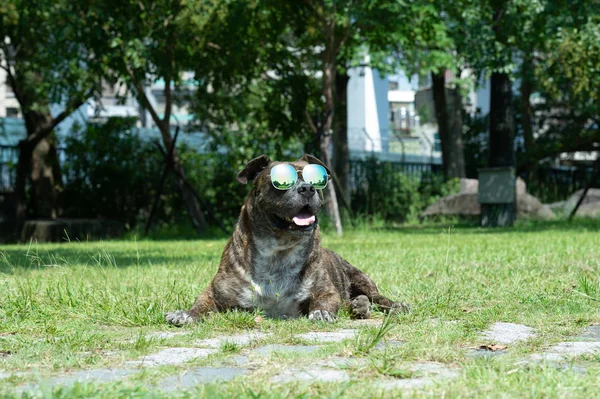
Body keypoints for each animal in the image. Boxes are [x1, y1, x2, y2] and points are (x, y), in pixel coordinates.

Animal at [165, 153, 408, 324]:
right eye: (281, 180)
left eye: (317, 179)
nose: (308, 188)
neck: (279, 249)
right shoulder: (215, 293)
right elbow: (202, 303)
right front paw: (186, 314)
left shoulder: (327, 291)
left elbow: (326, 300)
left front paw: (321, 312)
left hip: (360, 278)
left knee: (376, 297)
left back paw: (388, 305)